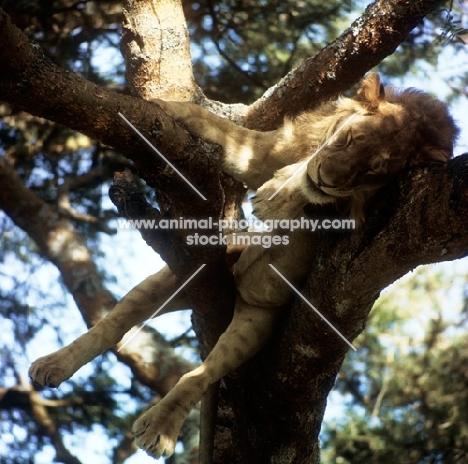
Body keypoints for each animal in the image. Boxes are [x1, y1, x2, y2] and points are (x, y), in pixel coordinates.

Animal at [27, 74, 458, 458]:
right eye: (349, 139)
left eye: (371, 172)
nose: (328, 178)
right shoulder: (266, 152)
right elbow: (217, 127)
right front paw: (157, 106)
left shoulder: (360, 219)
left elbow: (305, 195)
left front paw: (282, 193)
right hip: (181, 275)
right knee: (111, 325)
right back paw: (53, 365)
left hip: (257, 319)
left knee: (202, 373)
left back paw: (160, 428)